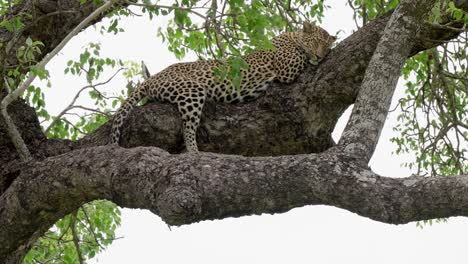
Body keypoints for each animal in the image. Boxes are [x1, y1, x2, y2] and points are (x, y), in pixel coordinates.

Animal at [110, 22, 336, 153]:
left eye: (326, 46)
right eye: (315, 41)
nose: (320, 55)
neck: (293, 37)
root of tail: (153, 77)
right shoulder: (288, 69)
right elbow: (302, 60)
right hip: (191, 90)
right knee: (187, 126)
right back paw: (194, 151)